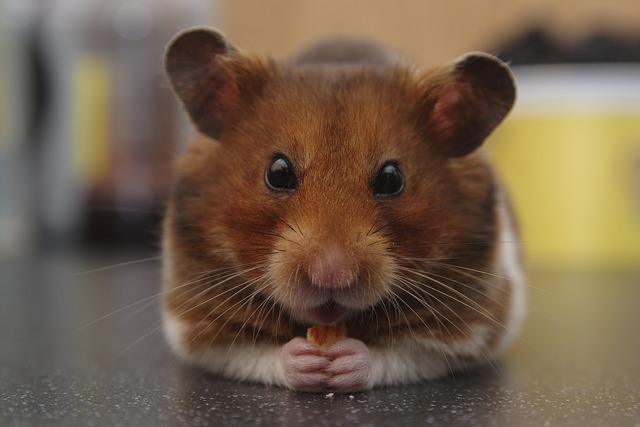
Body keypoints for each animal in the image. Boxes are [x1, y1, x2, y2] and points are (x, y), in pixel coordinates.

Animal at [161, 27, 526, 393]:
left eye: (392, 178)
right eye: (278, 172)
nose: (332, 275)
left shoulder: (473, 327)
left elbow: (400, 354)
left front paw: (343, 362)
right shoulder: (194, 323)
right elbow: (253, 353)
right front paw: (307, 361)